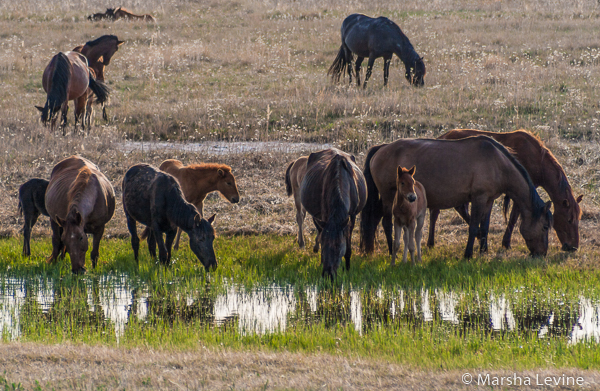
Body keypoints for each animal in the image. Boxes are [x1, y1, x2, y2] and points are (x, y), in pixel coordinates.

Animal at [298, 149, 366, 280]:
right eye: (324, 246)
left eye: (338, 246)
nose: (328, 274)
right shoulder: (324, 214)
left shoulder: (351, 216)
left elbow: (348, 245)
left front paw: (347, 268)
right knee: (319, 230)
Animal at [360, 138, 552, 260]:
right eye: (545, 227)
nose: (542, 253)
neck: (497, 162)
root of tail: (381, 148)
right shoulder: (478, 198)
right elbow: (474, 226)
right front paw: (468, 254)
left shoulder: (489, 200)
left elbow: (485, 226)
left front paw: (484, 250)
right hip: (388, 196)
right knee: (386, 223)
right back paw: (391, 250)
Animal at [434, 129, 584, 251]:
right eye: (569, 220)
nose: (573, 247)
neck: (537, 161)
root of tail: (442, 136)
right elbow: (513, 216)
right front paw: (506, 242)